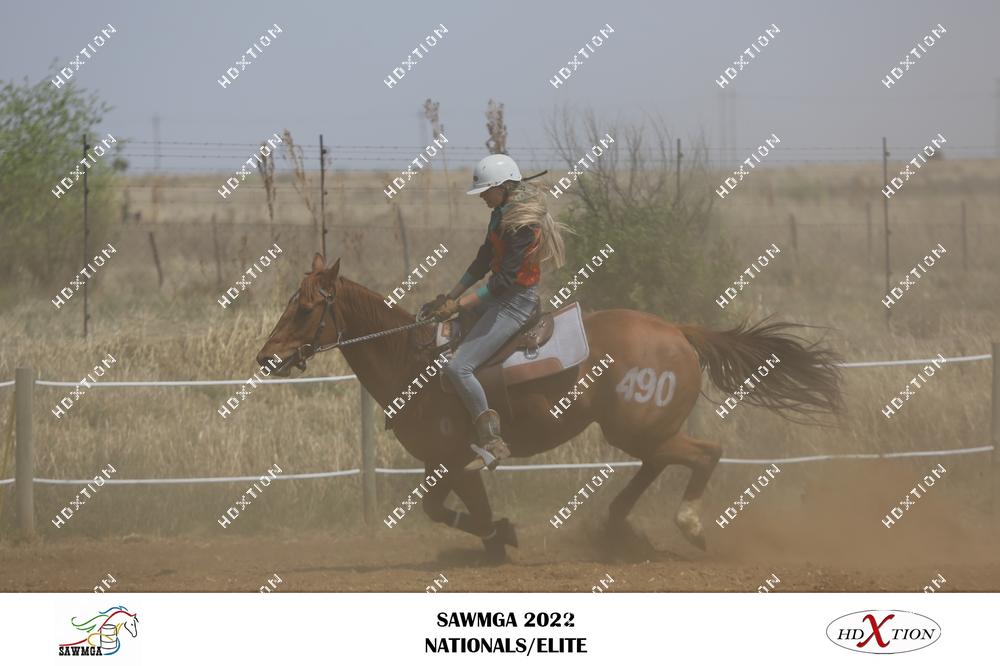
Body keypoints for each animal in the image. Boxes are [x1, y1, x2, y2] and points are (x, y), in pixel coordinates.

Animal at [257, 254, 843, 562]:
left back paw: (689, 525)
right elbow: (447, 512)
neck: (412, 360)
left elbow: (462, 510)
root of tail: (678, 330)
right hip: (638, 431)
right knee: (662, 460)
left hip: (637, 428)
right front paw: (499, 538)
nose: (265, 357)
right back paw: (617, 527)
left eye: (304, 308)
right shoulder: (440, 464)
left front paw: (500, 537)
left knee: (705, 453)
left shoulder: (456, 462)